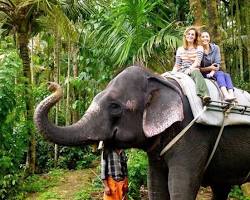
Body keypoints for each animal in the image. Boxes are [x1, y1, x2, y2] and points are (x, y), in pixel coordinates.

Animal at [33, 66, 250, 200]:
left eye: (115, 107)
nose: (51, 84)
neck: (161, 80)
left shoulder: (194, 136)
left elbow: (181, 188)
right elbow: (155, 185)